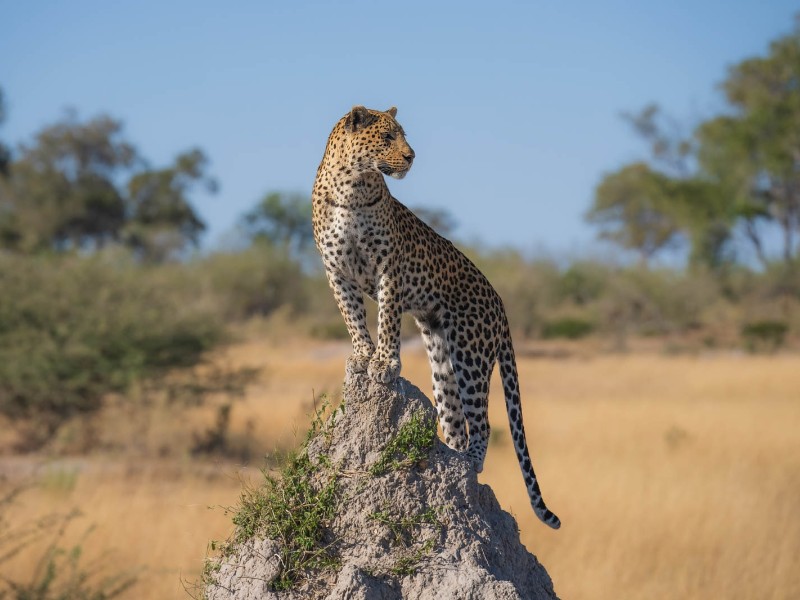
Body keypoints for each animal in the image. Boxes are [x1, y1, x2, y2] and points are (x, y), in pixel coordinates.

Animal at [311, 105, 561, 529]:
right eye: (387, 137)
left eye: (403, 135)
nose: (411, 156)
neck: (352, 187)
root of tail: (500, 304)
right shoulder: (337, 271)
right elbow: (353, 317)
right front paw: (362, 356)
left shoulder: (388, 268)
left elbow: (387, 320)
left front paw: (384, 364)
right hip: (443, 364)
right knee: (457, 423)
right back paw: (454, 458)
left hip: (471, 354)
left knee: (483, 423)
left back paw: (468, 466)